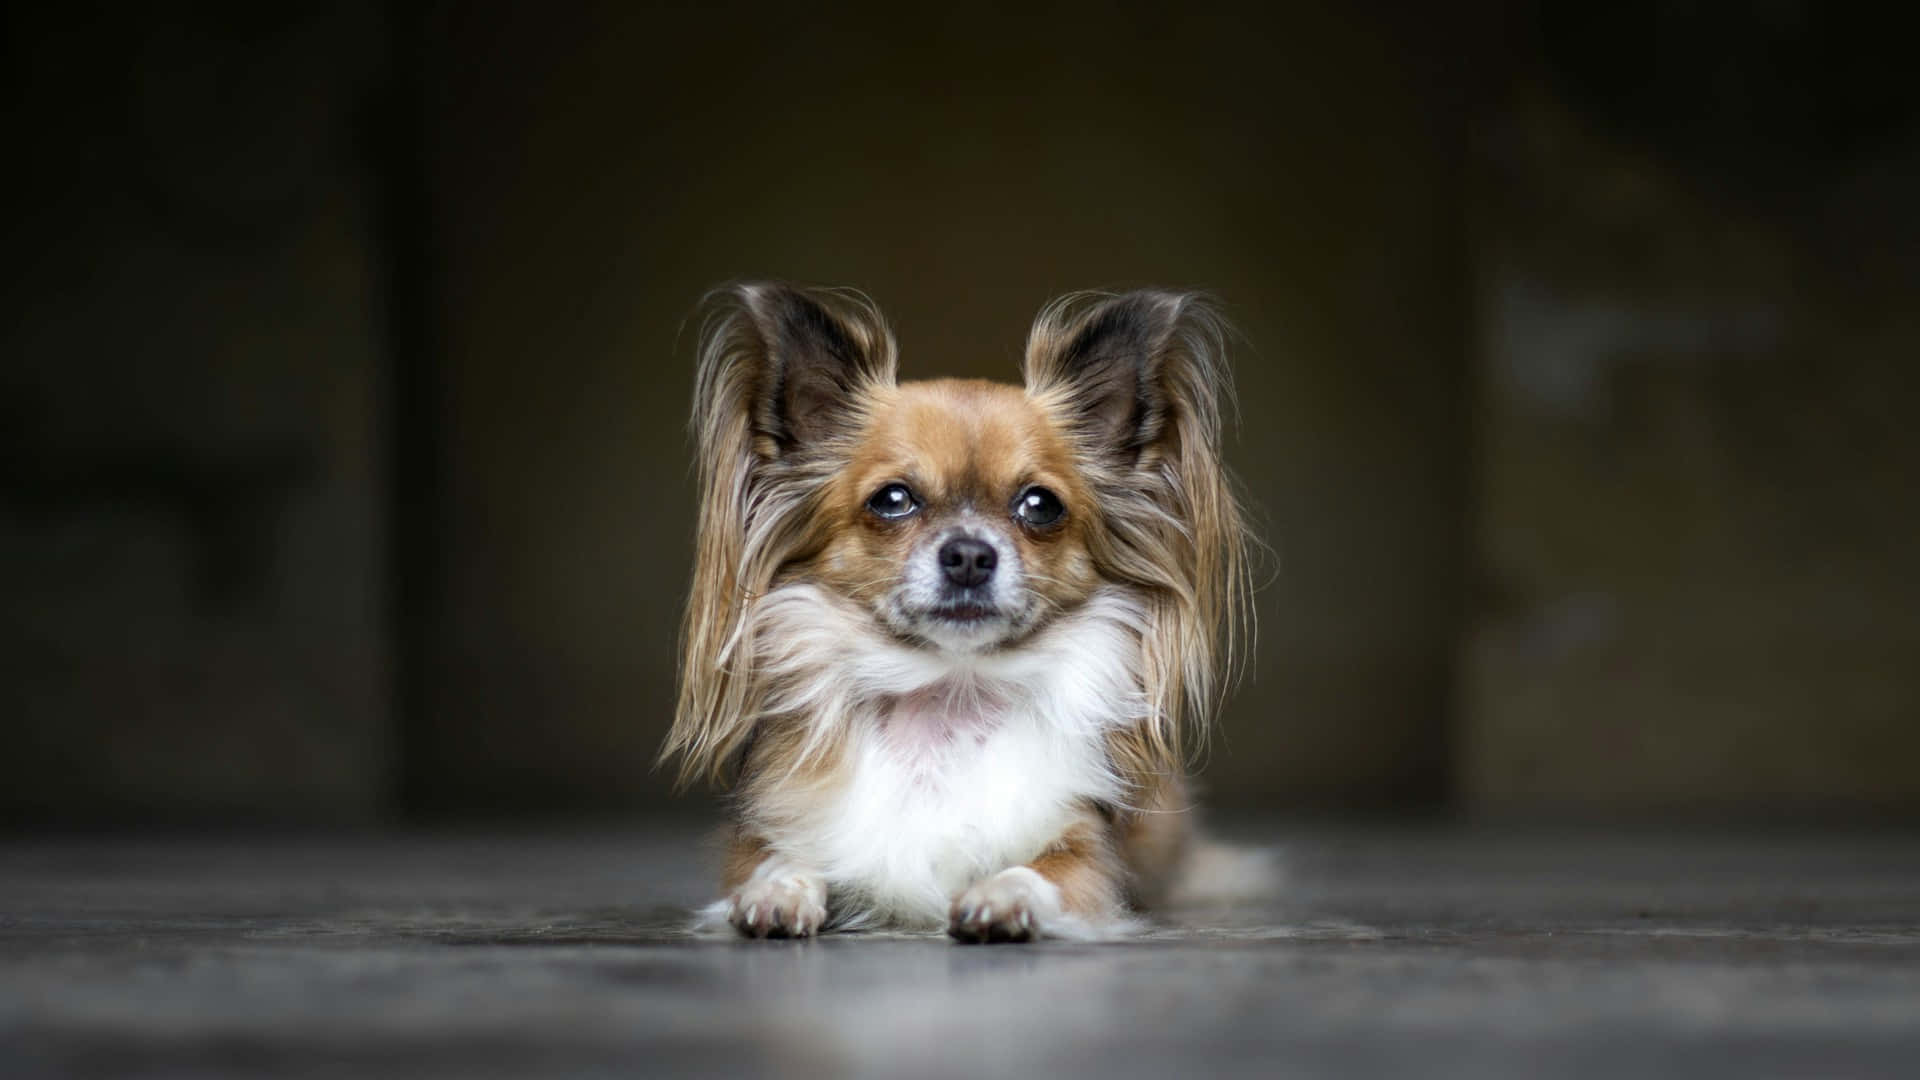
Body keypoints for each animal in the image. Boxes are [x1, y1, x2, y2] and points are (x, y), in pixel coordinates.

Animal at [660, 282, 1259, 937]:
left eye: (1041, 505)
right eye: (892, 499)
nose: (970, 554)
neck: (947, 693)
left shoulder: (1088, 854)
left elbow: (1045, 871)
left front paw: (1004, 897)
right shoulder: (773, 832)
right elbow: (779, 861)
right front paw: (777, 894)